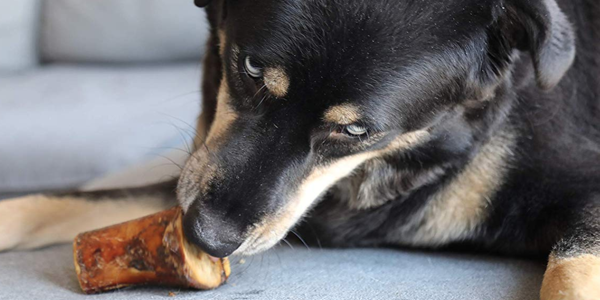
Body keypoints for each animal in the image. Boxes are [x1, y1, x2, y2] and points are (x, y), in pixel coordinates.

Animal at [1, 0, 600, 298]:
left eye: (356, 132)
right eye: (249, 67)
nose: (206, 237)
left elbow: (568, 269)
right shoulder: (196, 178)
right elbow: (53, 201)